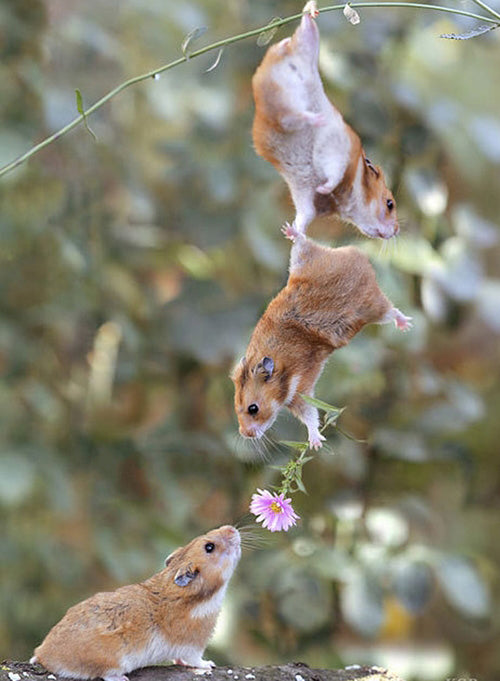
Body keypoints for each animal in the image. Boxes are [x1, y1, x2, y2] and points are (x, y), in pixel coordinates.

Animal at [30, 526, 241, 680]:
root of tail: (43, 654)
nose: (232, 528)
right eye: (209, 547)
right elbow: (197, 660)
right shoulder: (193, 645)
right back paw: (121, 678)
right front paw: (210, 664)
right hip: (112, 660)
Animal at [232, 225, 411, 449]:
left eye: (253, 408)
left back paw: (406, 325)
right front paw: (316, 444)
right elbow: (309, 416)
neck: (281, 373)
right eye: (236, 407)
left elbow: (310, 416)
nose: (245, 434)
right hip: (302, 260)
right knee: (305, 242)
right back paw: (290, 231)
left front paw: (316, 444)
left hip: (372, 307)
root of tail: (359, 256)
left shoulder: (300, 392)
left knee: (392, 311)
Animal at [252, 4, 398, 239]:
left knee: (306, 30)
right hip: (292, 94)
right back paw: (316, 118)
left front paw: (289, 231)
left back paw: (310, 11)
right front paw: (324, 188)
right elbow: (332, 176)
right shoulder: (335, 153)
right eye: (390, 204)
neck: (347, 197)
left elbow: (304, 217)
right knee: (292, 116)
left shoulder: (305, 195)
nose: (396, 231)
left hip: (300, 59)